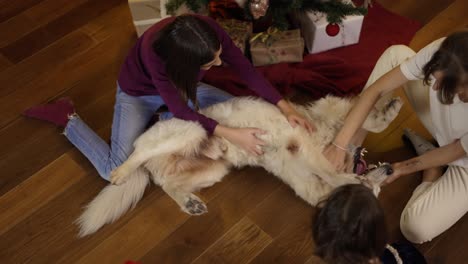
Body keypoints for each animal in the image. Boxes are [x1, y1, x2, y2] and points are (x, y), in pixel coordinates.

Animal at [76, 96, 398, 236]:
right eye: (379, 191)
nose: (392, 171)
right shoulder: (310, 136)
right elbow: (363, 123)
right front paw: (389, 109)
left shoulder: (306, 178)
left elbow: (326, 178)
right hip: (188, 131)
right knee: (138, 153)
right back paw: (120, 173)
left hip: (214, 169)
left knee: (167, 184)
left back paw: (190, 204)